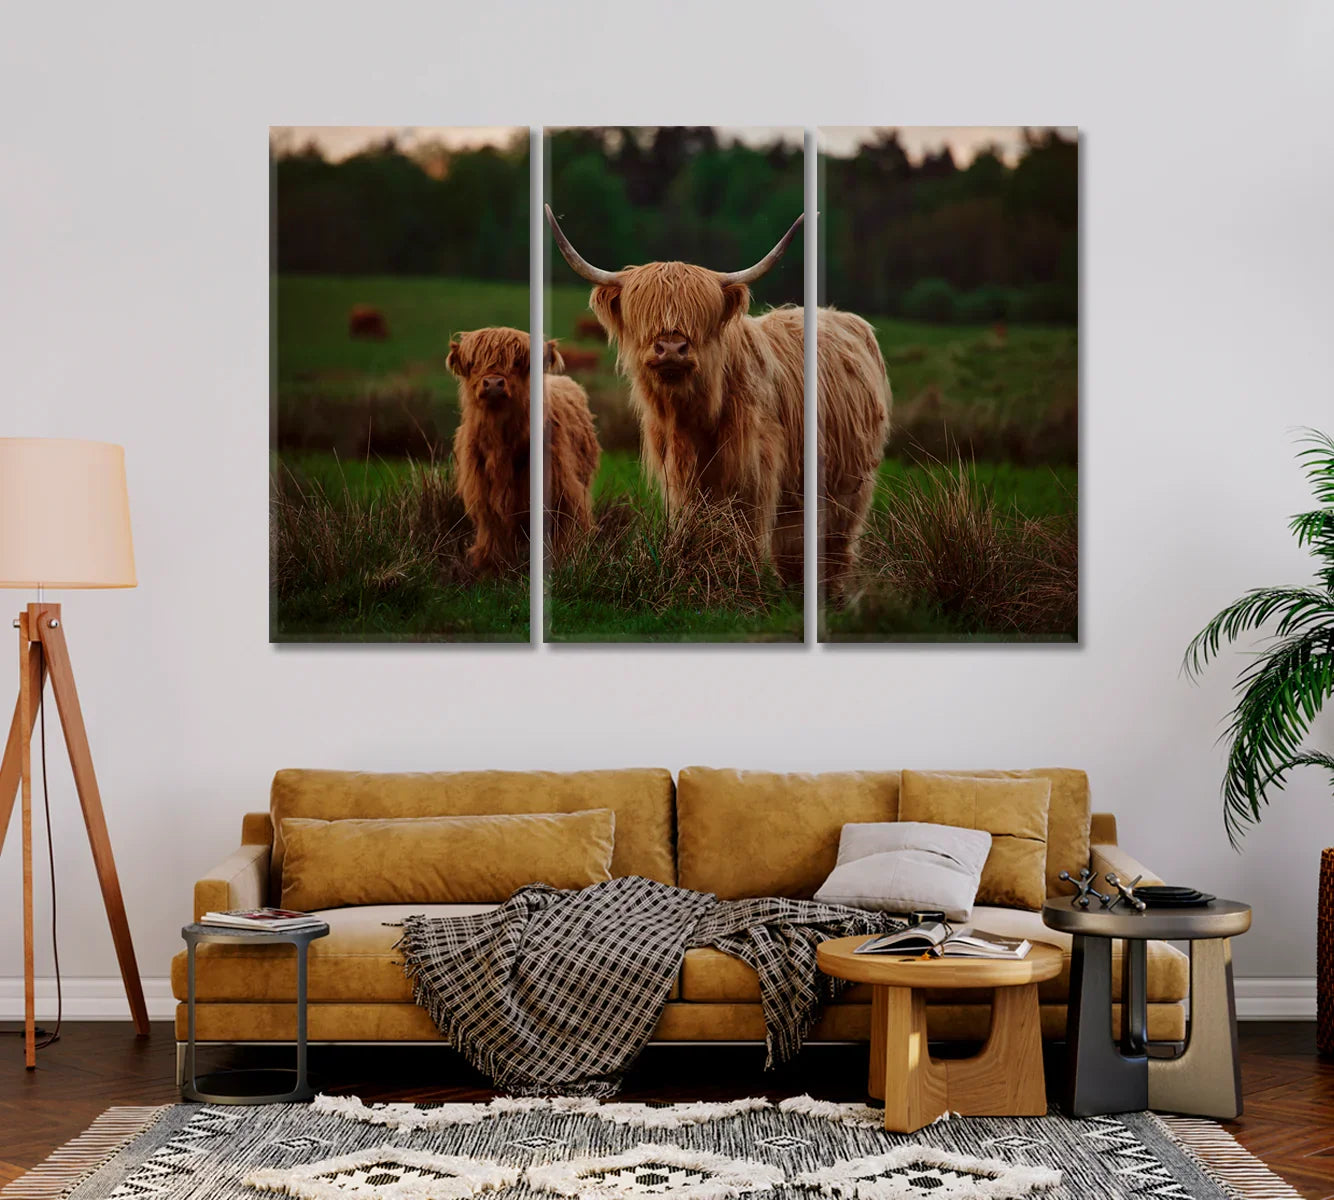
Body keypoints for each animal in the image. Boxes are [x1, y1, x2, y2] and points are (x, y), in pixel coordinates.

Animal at [447, 326, 598, 573]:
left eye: (517, 362)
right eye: (474, 363)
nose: (493, 383)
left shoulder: (561, 493)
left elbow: (563, 530)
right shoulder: (484, 495)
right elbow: (493, 534)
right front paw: (490, 568)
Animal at [545, 205, 890, 594]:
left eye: (700, 315)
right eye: (646, 313)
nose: (671, 348)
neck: (696, 419)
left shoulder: (753, 475)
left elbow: (743, 532)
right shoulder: (681, 478)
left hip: (847, 484)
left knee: (833, 544)